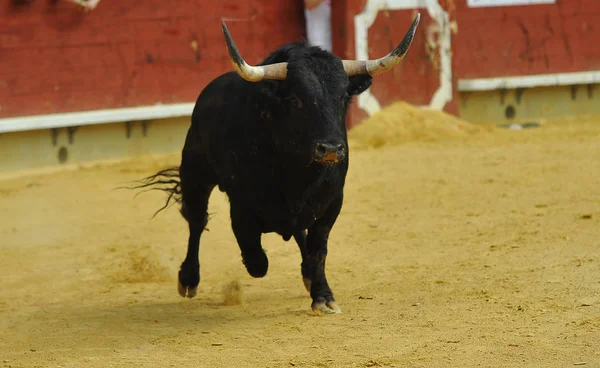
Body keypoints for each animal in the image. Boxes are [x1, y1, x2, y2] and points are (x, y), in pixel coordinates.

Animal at [133, 13, 420, 314]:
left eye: (344, 98)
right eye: (295, 100)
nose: (331, 149)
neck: (296, 172)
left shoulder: (331, 203)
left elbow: (318, 249)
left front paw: (322, 295)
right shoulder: (241, 207)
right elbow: (256, 258)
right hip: (195, 172)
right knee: (197, 221)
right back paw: (188, 279)